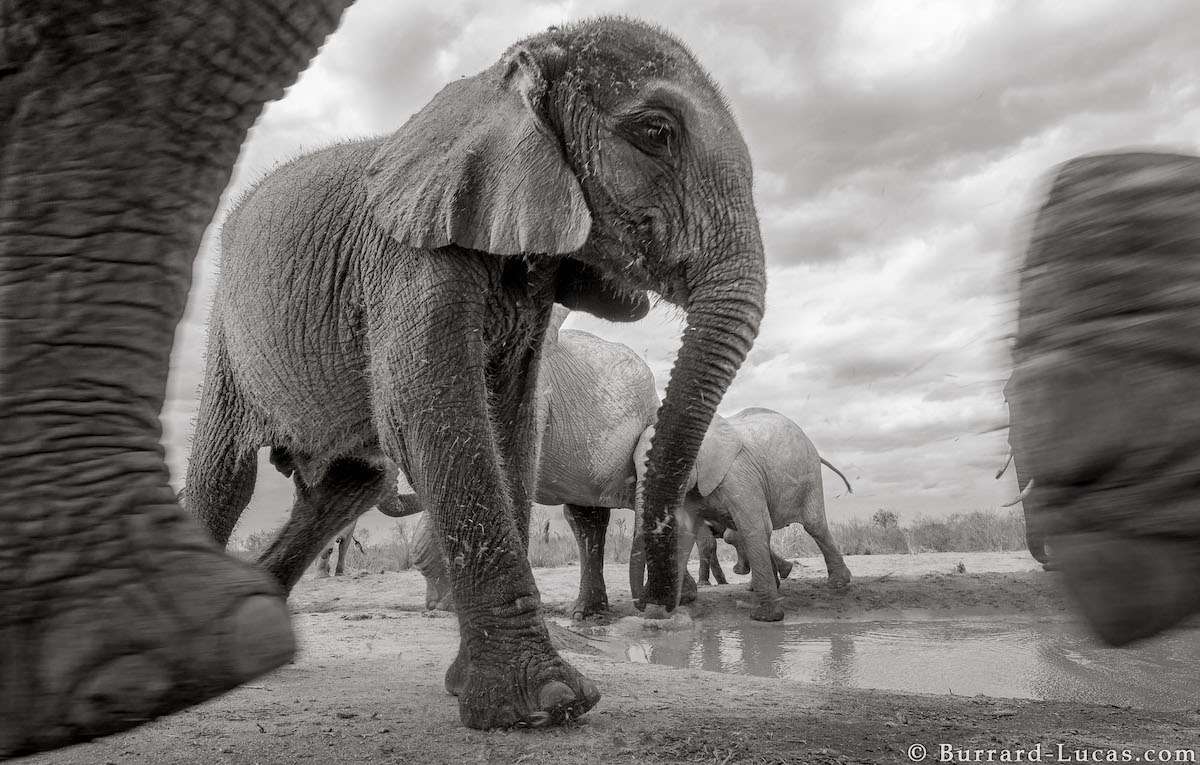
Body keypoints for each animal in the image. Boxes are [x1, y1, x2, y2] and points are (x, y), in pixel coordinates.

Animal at [184, 19, 768, 729]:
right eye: (657, 133)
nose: (659, 613)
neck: (500, 80)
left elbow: (511, 423)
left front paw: (490, 693)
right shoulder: (410, 259)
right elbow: (431, 412)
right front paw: (543, 708)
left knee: (347, 487)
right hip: (225, 337)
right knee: (226, 476)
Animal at [633, 407, 859, 623]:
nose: (641, 605)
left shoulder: (739, 474)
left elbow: (754, 526)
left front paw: (765, 617)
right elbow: (682, 536)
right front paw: (659, 614)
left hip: (809, 473)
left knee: (814, 525)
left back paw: (838, 583)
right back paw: (764, 583)